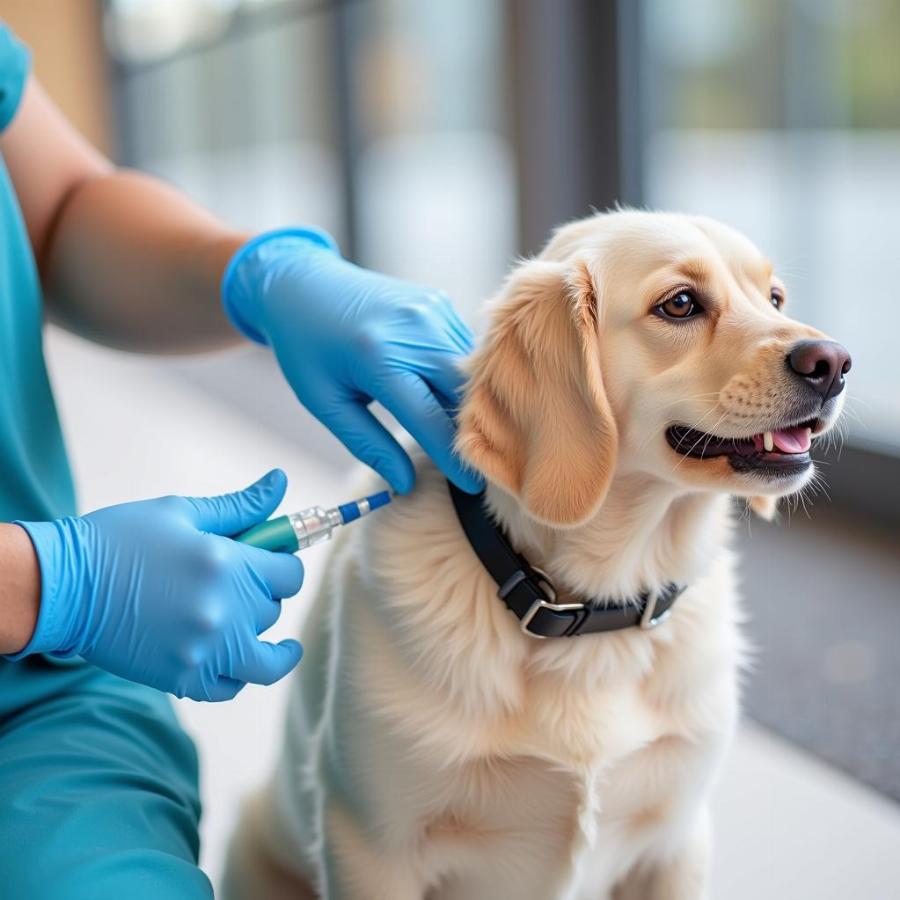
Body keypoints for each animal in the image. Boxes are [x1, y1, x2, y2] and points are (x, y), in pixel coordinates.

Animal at [223, 213, 852, 900]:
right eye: (680, 304)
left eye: (775, 298)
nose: (834, 362)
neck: (592, 610)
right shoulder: (371, 847)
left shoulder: (677, 838)